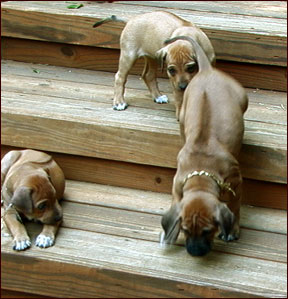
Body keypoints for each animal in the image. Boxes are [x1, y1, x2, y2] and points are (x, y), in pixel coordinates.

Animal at [161, 35, 249, 255]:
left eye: (209, 230)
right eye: (185, 229)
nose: (195, 252)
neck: (201, 170)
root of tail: (207, 70)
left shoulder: (237, 181)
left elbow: (235, 205)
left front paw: (233, 230)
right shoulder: (177, 184)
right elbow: (176, 203)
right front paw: (169, 234)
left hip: (243, 98)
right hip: (184, 114)